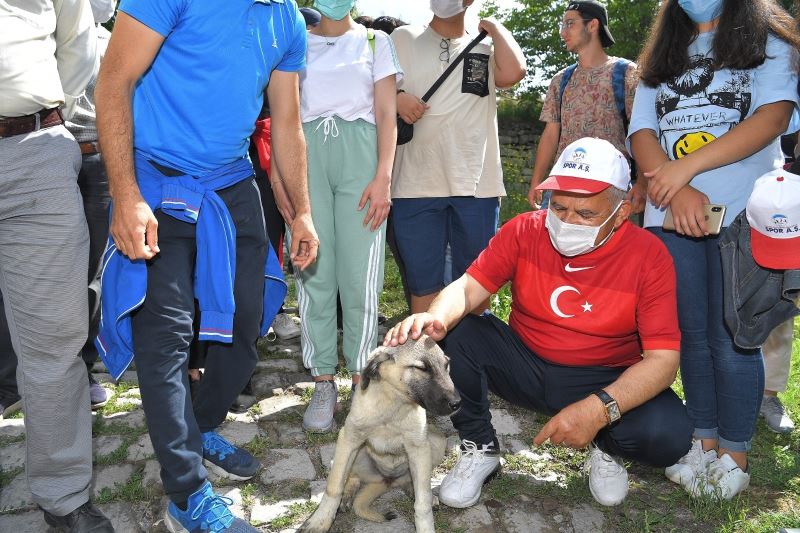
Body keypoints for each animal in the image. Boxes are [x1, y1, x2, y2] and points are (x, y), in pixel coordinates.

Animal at [300, 336, 462, 532]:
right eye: (422, 368)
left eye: (446, 365)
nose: (457, 403)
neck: (393, 404)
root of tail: (387, 480)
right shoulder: (349, 439)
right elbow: (334, 486)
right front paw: (321, 520)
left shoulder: (419, 448)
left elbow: (422, 503)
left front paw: (425, 524)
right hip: (344, 453)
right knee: (352, 476)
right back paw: (347, 494)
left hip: (435, 443)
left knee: (413, 482)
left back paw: (417, 491)